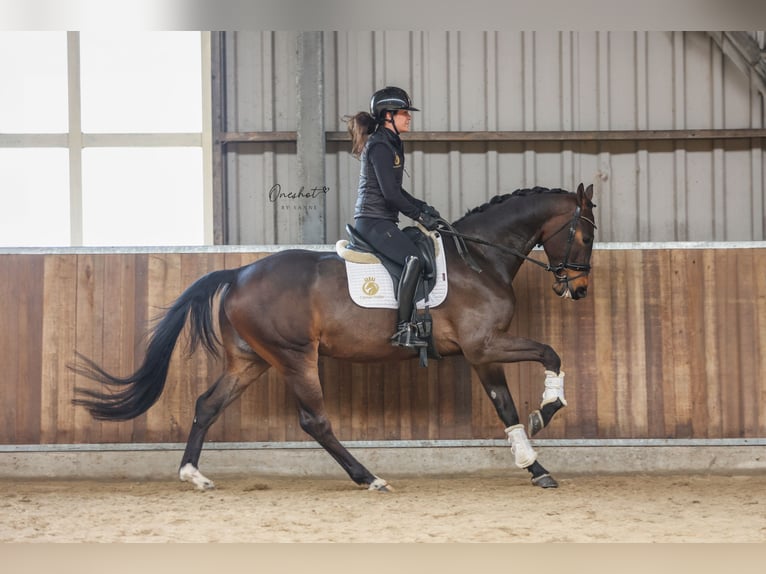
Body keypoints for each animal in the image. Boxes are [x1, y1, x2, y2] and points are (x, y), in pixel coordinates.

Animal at [72, 182, 596, 492]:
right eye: (586, 234)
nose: (579, 289)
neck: (480, 259)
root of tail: (239, 273)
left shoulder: (481, 352)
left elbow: (505, 405)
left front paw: (534, 464)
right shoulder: (483, 344)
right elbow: (551, 353)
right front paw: (547, 410)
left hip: (250, 361)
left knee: (207, 404)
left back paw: (193, 475)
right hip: (294, 357)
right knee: (315, 421)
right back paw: (369, 477)